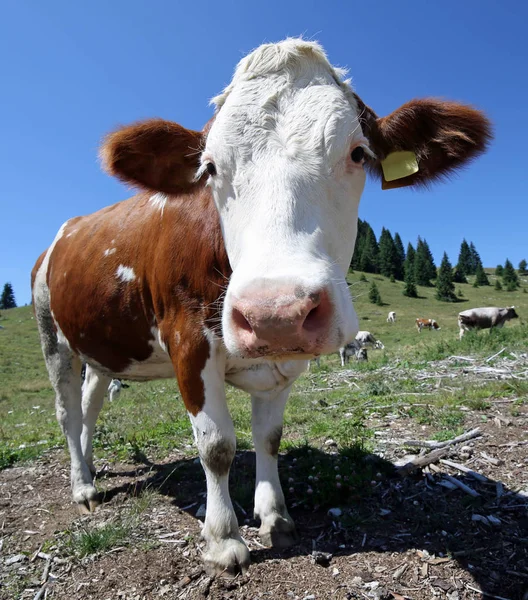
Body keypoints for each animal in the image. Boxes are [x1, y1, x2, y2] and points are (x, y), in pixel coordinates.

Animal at [29, 38, 490, 576]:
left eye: (358, 153)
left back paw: (90, 465)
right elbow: (217, 446)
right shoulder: (189, 339)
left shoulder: (281, 359)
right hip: (53, 336)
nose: (276, 312)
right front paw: (223, 538)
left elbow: (268, 437)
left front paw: (275, 517)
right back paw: (82, 485)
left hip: (105, 347)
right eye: (209, 167)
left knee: (90, 404)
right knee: (66, 410)